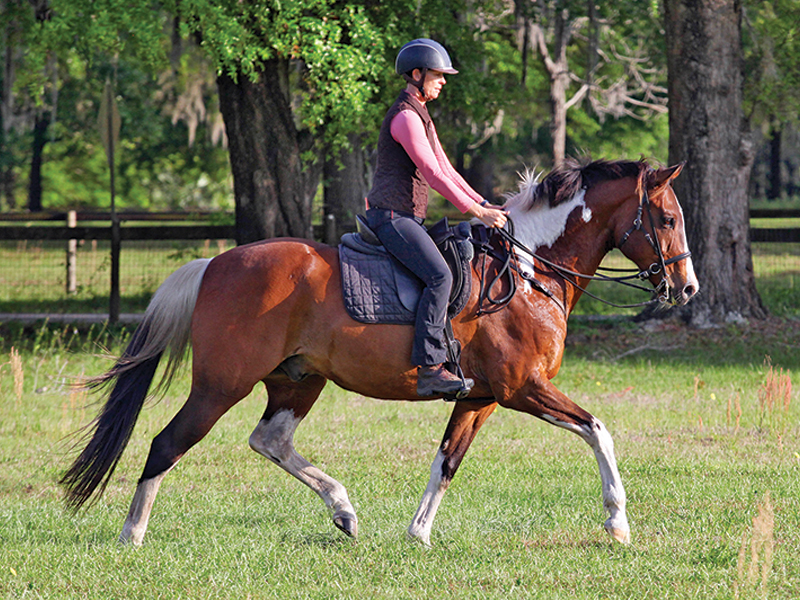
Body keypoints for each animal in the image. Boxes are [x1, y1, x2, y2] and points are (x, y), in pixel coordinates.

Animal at [61, 157, 700, 548]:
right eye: (668, 217)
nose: (688, 288)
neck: (528, 269)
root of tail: (214, 262)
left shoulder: (481, 398)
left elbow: (446, 461)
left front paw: (418, 534)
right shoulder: (522, 389)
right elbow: (598, 430)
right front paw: (617, 520)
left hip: (297, 380)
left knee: (270, 440)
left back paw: (343, 509)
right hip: (221, 386)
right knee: (167, 443)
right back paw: (132, 535)